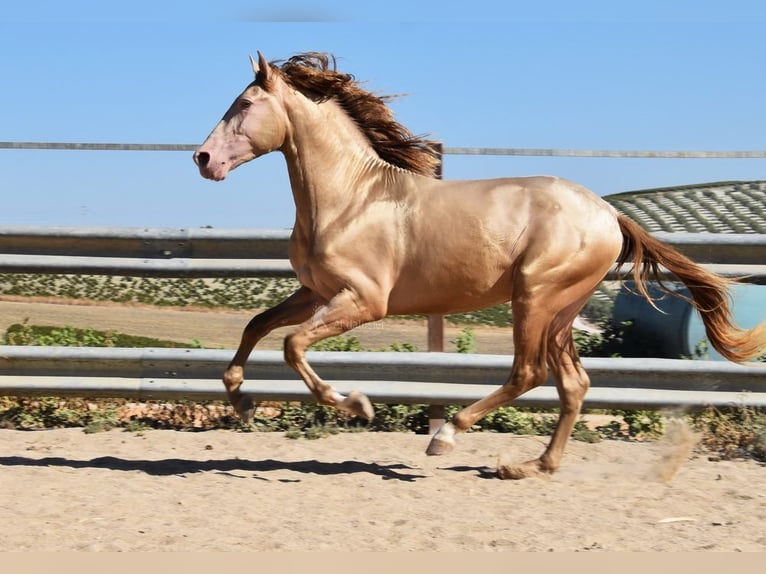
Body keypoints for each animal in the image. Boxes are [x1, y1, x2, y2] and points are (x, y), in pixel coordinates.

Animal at [194, 51, 766, 482]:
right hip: (561, 312)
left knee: (529, 372)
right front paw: (243, 403)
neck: (352, 198)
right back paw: (532, 466)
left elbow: (292, 345)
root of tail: (609, 214)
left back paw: (446, 437)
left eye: (244, 104)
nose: (203, 159)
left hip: (534, 297)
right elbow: (256, 326)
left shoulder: (363, 301)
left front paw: (355, 403)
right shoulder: (314, 292)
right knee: (573, 383)